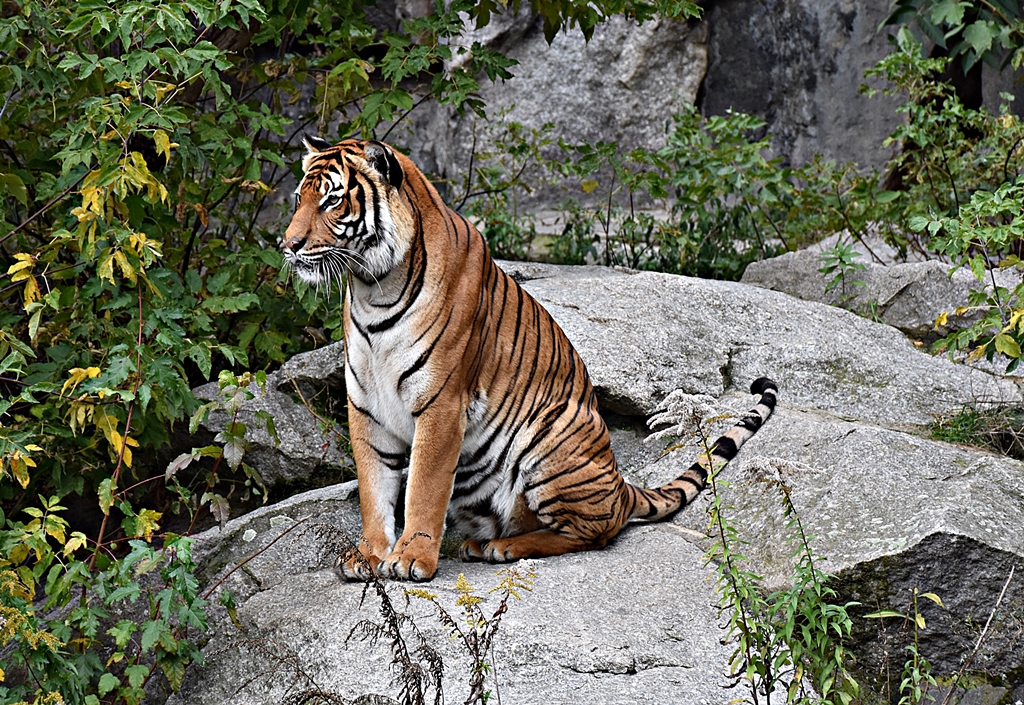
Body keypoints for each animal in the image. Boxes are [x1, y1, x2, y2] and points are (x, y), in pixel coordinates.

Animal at [281, 137, 778, 582]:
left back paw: (502, 548)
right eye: (298, 199)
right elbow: (374, 488)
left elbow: (423, 487)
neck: (372, 288)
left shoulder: (442, 403)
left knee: (597, 533)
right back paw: (483, 542)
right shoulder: (366, 404)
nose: (288, 245)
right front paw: (369, 555)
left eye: (331, 201)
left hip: (551, 438)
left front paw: (410, 558)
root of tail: (621, 486)